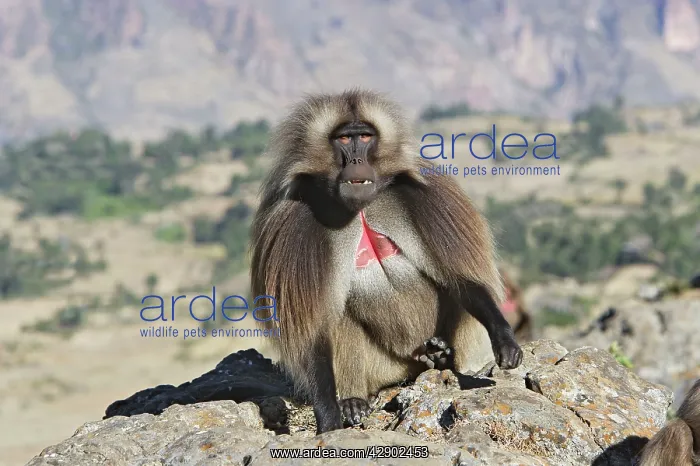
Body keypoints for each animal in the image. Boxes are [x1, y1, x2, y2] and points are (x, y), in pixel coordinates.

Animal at [250, 88, 523, 434]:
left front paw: (504, 339)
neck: (360, 208)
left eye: (364, 137)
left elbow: (460, 280)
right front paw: (329, 416)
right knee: (339, 316)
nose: (356, 161)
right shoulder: (293, 223)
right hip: (383, 368)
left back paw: (441, 357)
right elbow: (314, 328)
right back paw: (354, 400)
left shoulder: (430, 196)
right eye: (343, 139)